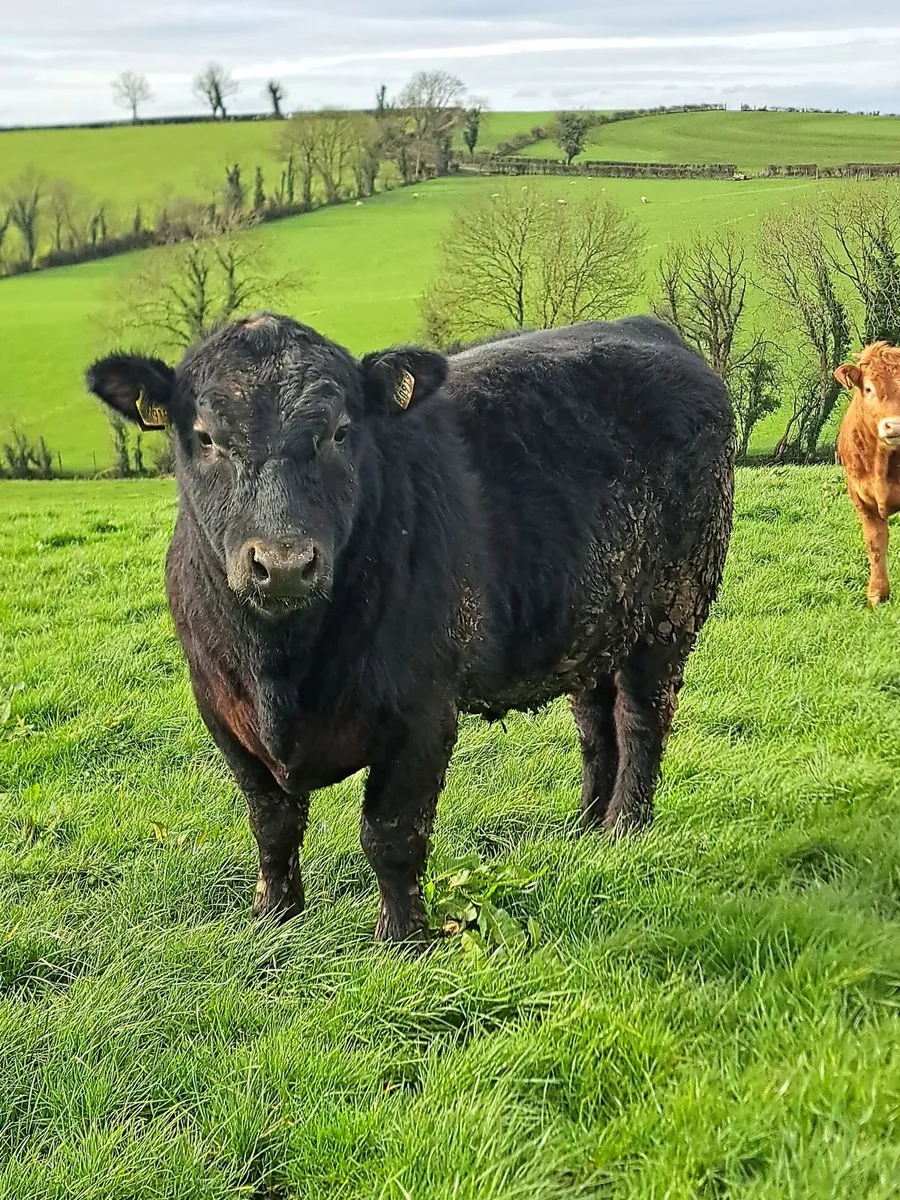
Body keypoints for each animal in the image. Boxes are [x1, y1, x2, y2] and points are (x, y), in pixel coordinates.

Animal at [86, 315, 734, 944]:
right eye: (205, 436)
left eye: (340, 432)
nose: (284, 563)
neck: (280, 668)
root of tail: (655, 331)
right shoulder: (222, 712)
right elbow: (272, 824)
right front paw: (275, 919)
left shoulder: (421, 711)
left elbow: (391, 833)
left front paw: (403, 938)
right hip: (591, 623)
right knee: (596, 724)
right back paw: (586, 826)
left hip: (670, 610)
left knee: (641, 720)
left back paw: (625, 826)